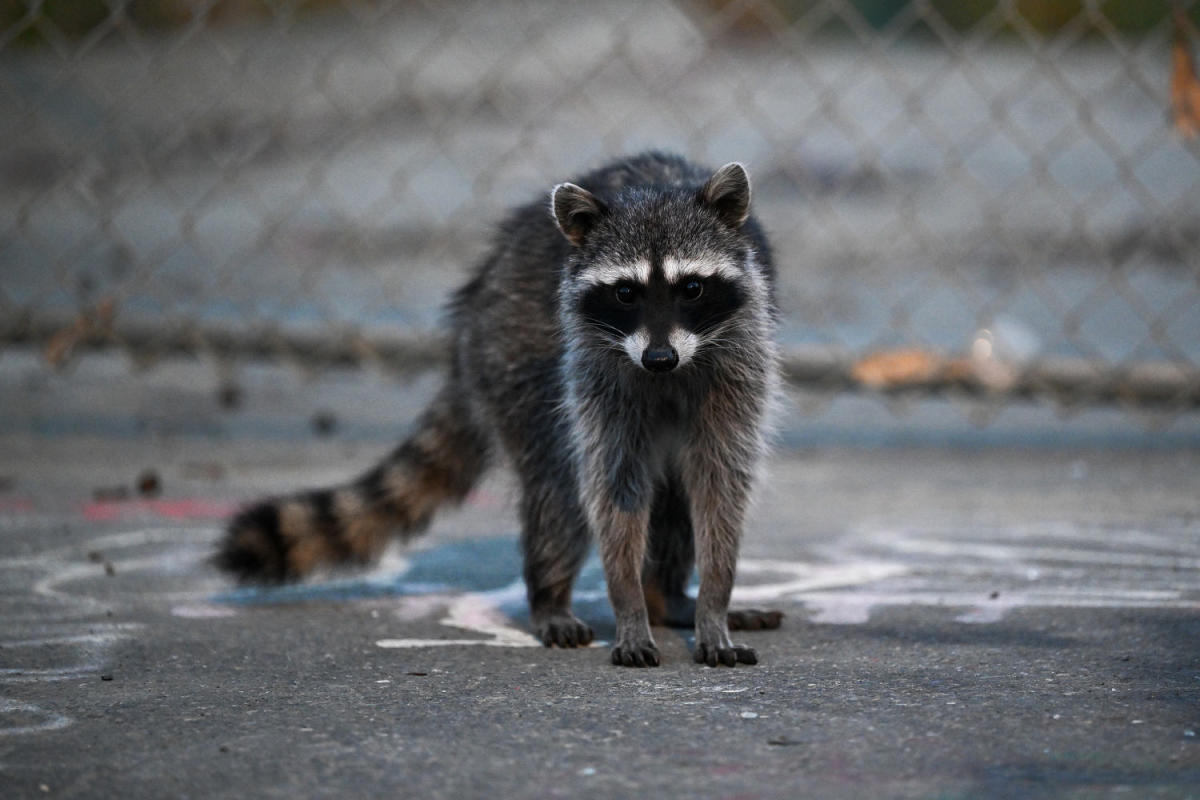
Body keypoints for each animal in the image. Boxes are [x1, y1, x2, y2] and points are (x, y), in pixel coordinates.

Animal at [219, 153, 782, 666]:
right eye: (626, 292)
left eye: (692, 288)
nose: (659, 358)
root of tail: (476, 298)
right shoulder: (595, 372)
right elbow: (612, 487)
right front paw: (628, 605)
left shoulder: (741, 362)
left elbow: (719, 484)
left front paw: (713, 602)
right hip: (516, 352)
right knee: (558, 486)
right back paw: (554, 596)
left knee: (671, 496)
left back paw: (668, 598)